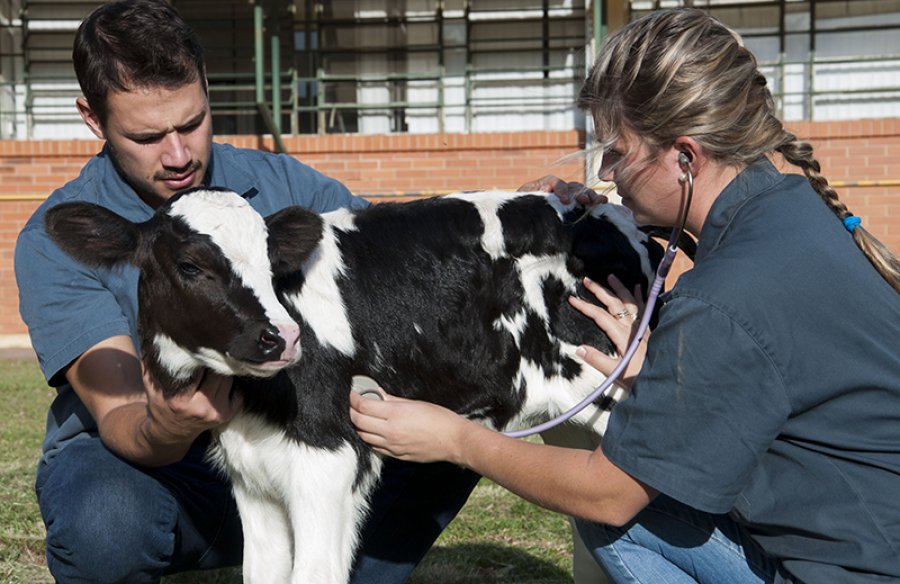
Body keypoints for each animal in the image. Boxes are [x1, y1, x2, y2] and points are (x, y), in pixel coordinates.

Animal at [47, 188, 660, 584]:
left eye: (270, 261)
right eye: (189, 265)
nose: (281, 338)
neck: (255, 407)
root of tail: (584, 215)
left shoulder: (328, 458)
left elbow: (315, 573)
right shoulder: (253, 477)